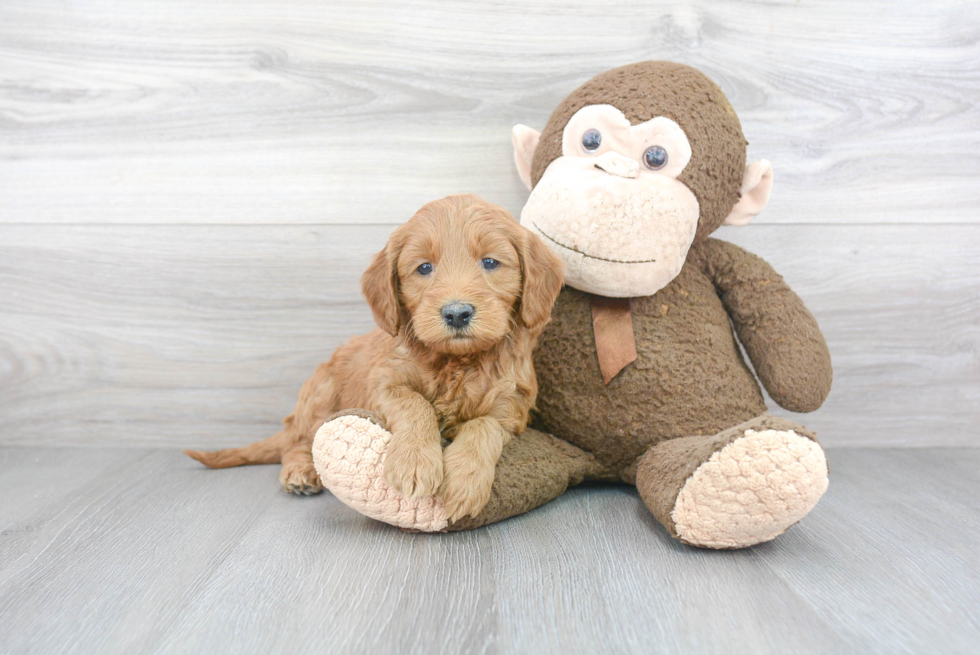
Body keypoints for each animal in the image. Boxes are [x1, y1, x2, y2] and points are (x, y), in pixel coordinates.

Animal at [187, 195, 564, 524]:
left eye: (489, 262)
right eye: (424, 268)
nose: (457, 313)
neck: (457, 361)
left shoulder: (511, 408)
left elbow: (483, 426)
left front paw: (464, 480)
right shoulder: (383, 383)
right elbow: (416, 403)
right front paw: (414, 463)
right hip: (320, 393)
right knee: (298, 443)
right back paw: (300, 472)